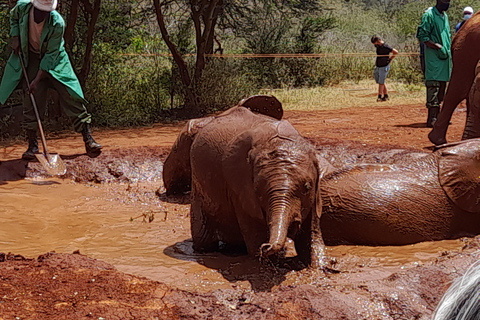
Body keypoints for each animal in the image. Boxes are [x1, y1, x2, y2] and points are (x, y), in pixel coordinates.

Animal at [165, 96, 330, 268]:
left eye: (307, 187)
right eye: (258, 191)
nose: (266, 246)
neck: (275, 142)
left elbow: (312, 233)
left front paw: (320, 267)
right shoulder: (239, 187)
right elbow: (255, 230)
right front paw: (266, 260)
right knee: (204, 242)